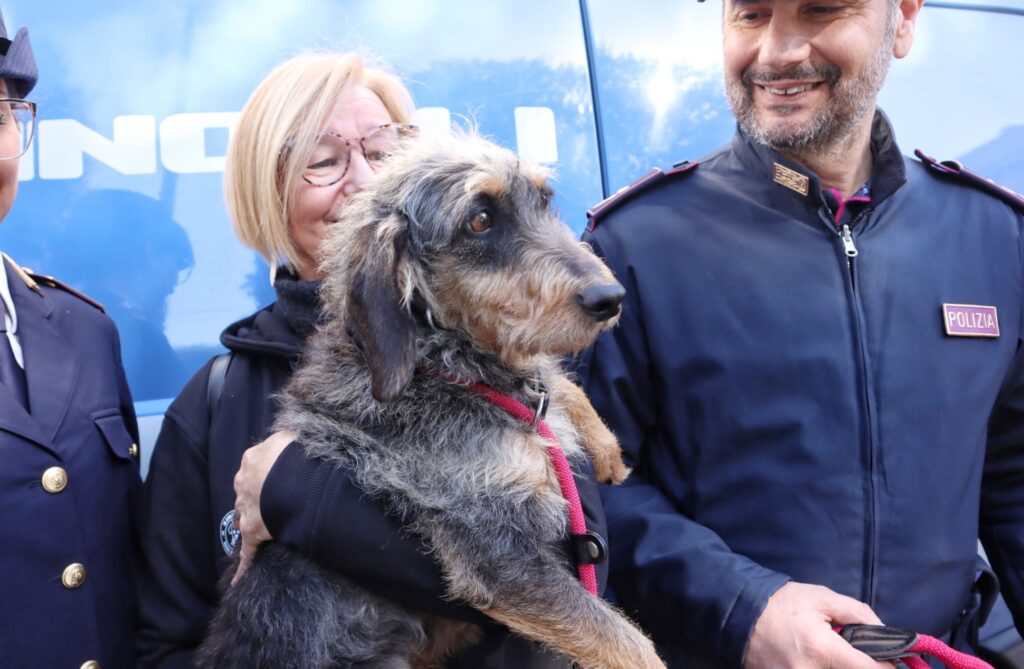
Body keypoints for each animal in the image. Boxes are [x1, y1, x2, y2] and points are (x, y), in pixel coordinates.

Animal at [196, 132, 667, 667]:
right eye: (479, 220)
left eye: (545, 200)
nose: (611, 297)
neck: (440, 367)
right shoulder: (494, 550)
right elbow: (628, 643)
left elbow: (554, 380)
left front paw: (605, 448)